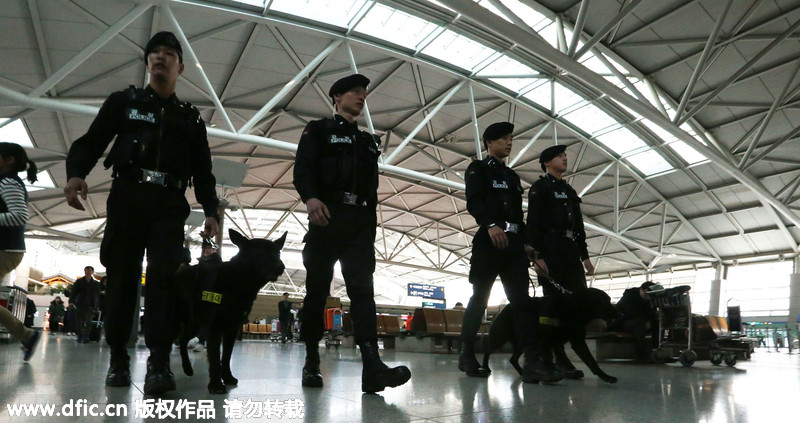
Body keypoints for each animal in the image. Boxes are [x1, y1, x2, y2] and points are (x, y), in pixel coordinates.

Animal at [174, 229, 287, 394]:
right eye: (262, 252)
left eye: (278, 253)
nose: (281, 266)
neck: (238, 280)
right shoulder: (214, 329)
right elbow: (215, 358)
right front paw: (216, 384)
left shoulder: (232, 329)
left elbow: (226, 357)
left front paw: (227, 378)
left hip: (195, 325)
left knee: (182, 340)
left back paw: (188, 368)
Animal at [481, 288, 618, 384]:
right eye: (603, 301)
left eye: (609, 300)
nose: (619, 313)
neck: (572, 309)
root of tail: (502, 309)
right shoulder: (547, 341)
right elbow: (549, 359)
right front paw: (549, 374)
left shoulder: (575, 342)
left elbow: (591, 362)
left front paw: (606, 377)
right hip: (499, 338)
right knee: (487, 350)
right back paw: (485, 367)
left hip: (523, 341)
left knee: (513, 359)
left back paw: (522, 372)